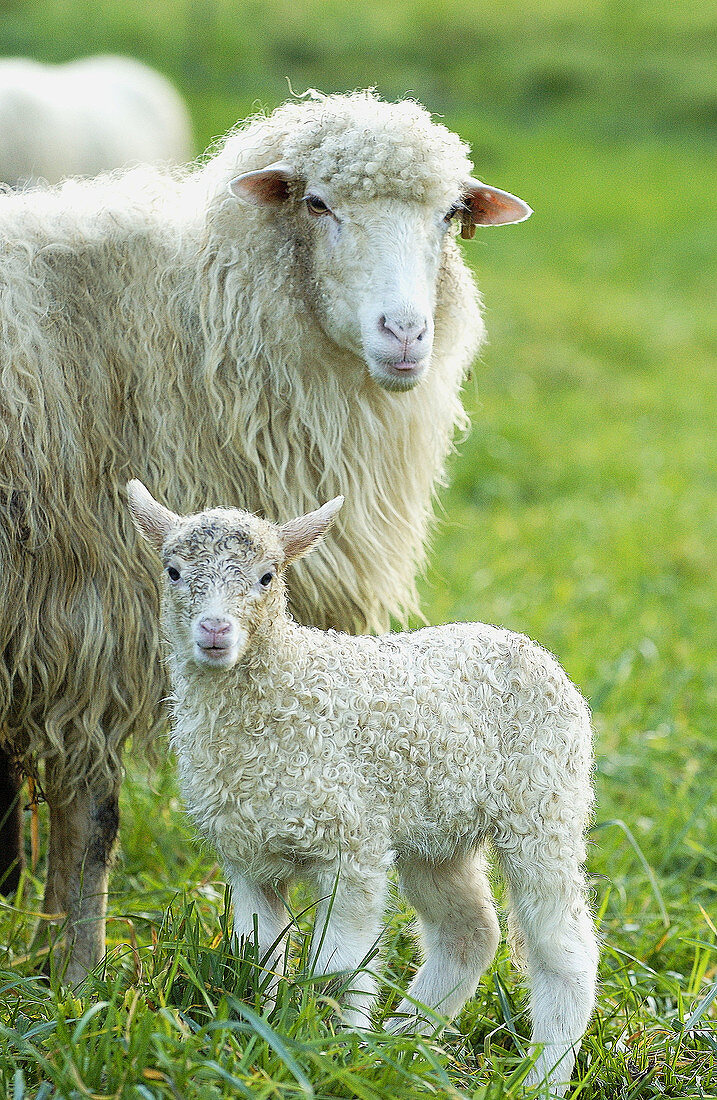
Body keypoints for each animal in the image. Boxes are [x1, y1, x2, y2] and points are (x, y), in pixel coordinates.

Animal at [0, 90, 530, 976]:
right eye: (316, 204)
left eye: (451, 215)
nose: (404, 334)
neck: (190, 331)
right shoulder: (88, 628)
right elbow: (92, 823)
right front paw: (76, 976)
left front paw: (50, 962)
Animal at [125, 484, 598, 1100]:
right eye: (174, 571)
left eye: (267, 577)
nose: (214, 631)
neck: (285, 687)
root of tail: (526, 644)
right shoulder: (245, 858)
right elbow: (261, 956)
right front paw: (267, 1038)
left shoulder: (351, 847)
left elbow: (337, 966)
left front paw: (328, 1049)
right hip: (436, 834)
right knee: (468, 932)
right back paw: (404, 1043)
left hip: (545, 805)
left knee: (562, 944)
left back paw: (543, 1075)